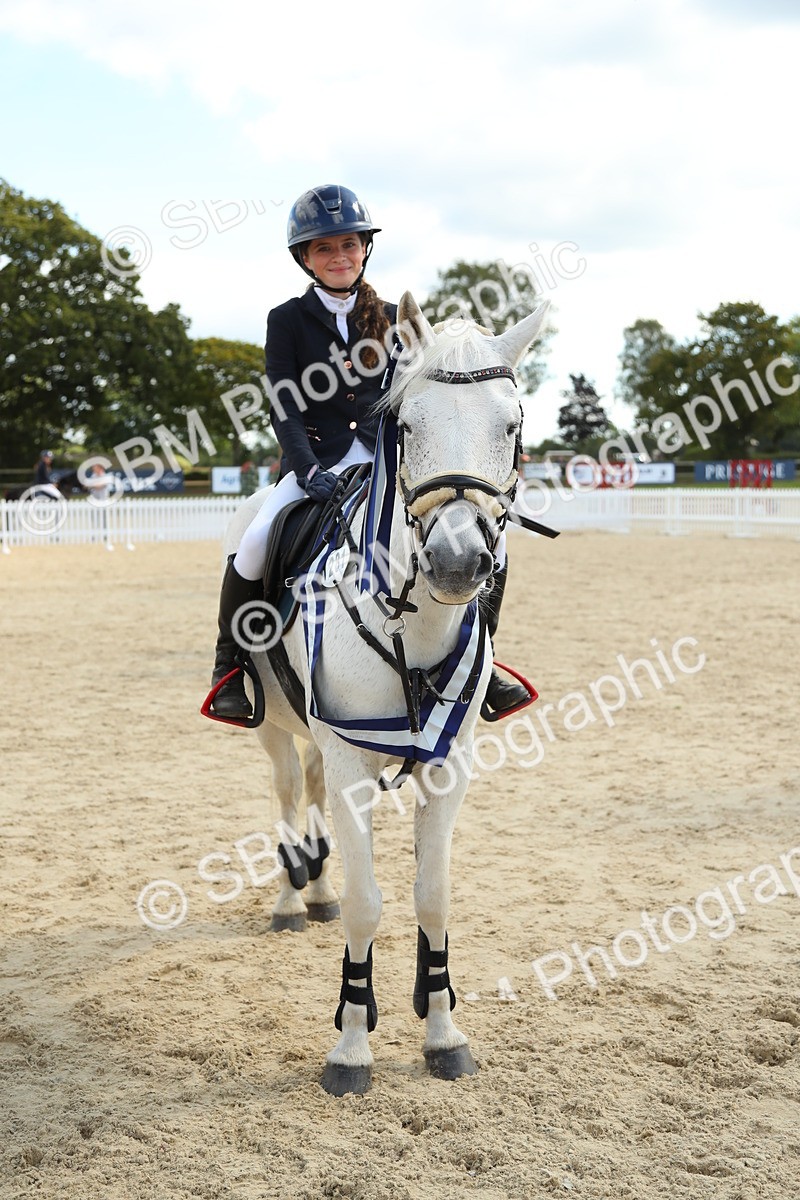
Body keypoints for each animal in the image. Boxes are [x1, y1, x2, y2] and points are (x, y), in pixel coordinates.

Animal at [218, 292, 550, 1096]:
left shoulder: (448, 767)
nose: (457, 562)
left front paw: (442, 1030)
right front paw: (350, 1045)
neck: (415, 625)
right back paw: (290, 898)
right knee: (286, 795)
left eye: (512, 426)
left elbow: (433, 895)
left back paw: (314, 892)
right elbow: (369, 905)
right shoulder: (351, 767)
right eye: (406, 425)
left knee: (305, 794)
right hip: (274, 726)